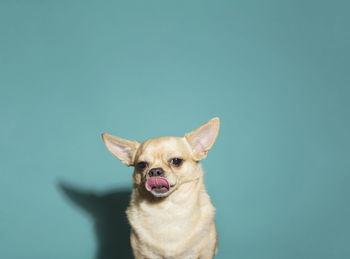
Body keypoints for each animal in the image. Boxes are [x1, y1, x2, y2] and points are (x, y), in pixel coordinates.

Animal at [101, 118, 219, 259]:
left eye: (176, 161)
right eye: (142, 165)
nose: (155, 171)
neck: (166, 209)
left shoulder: (206, 253)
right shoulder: (141, 255)